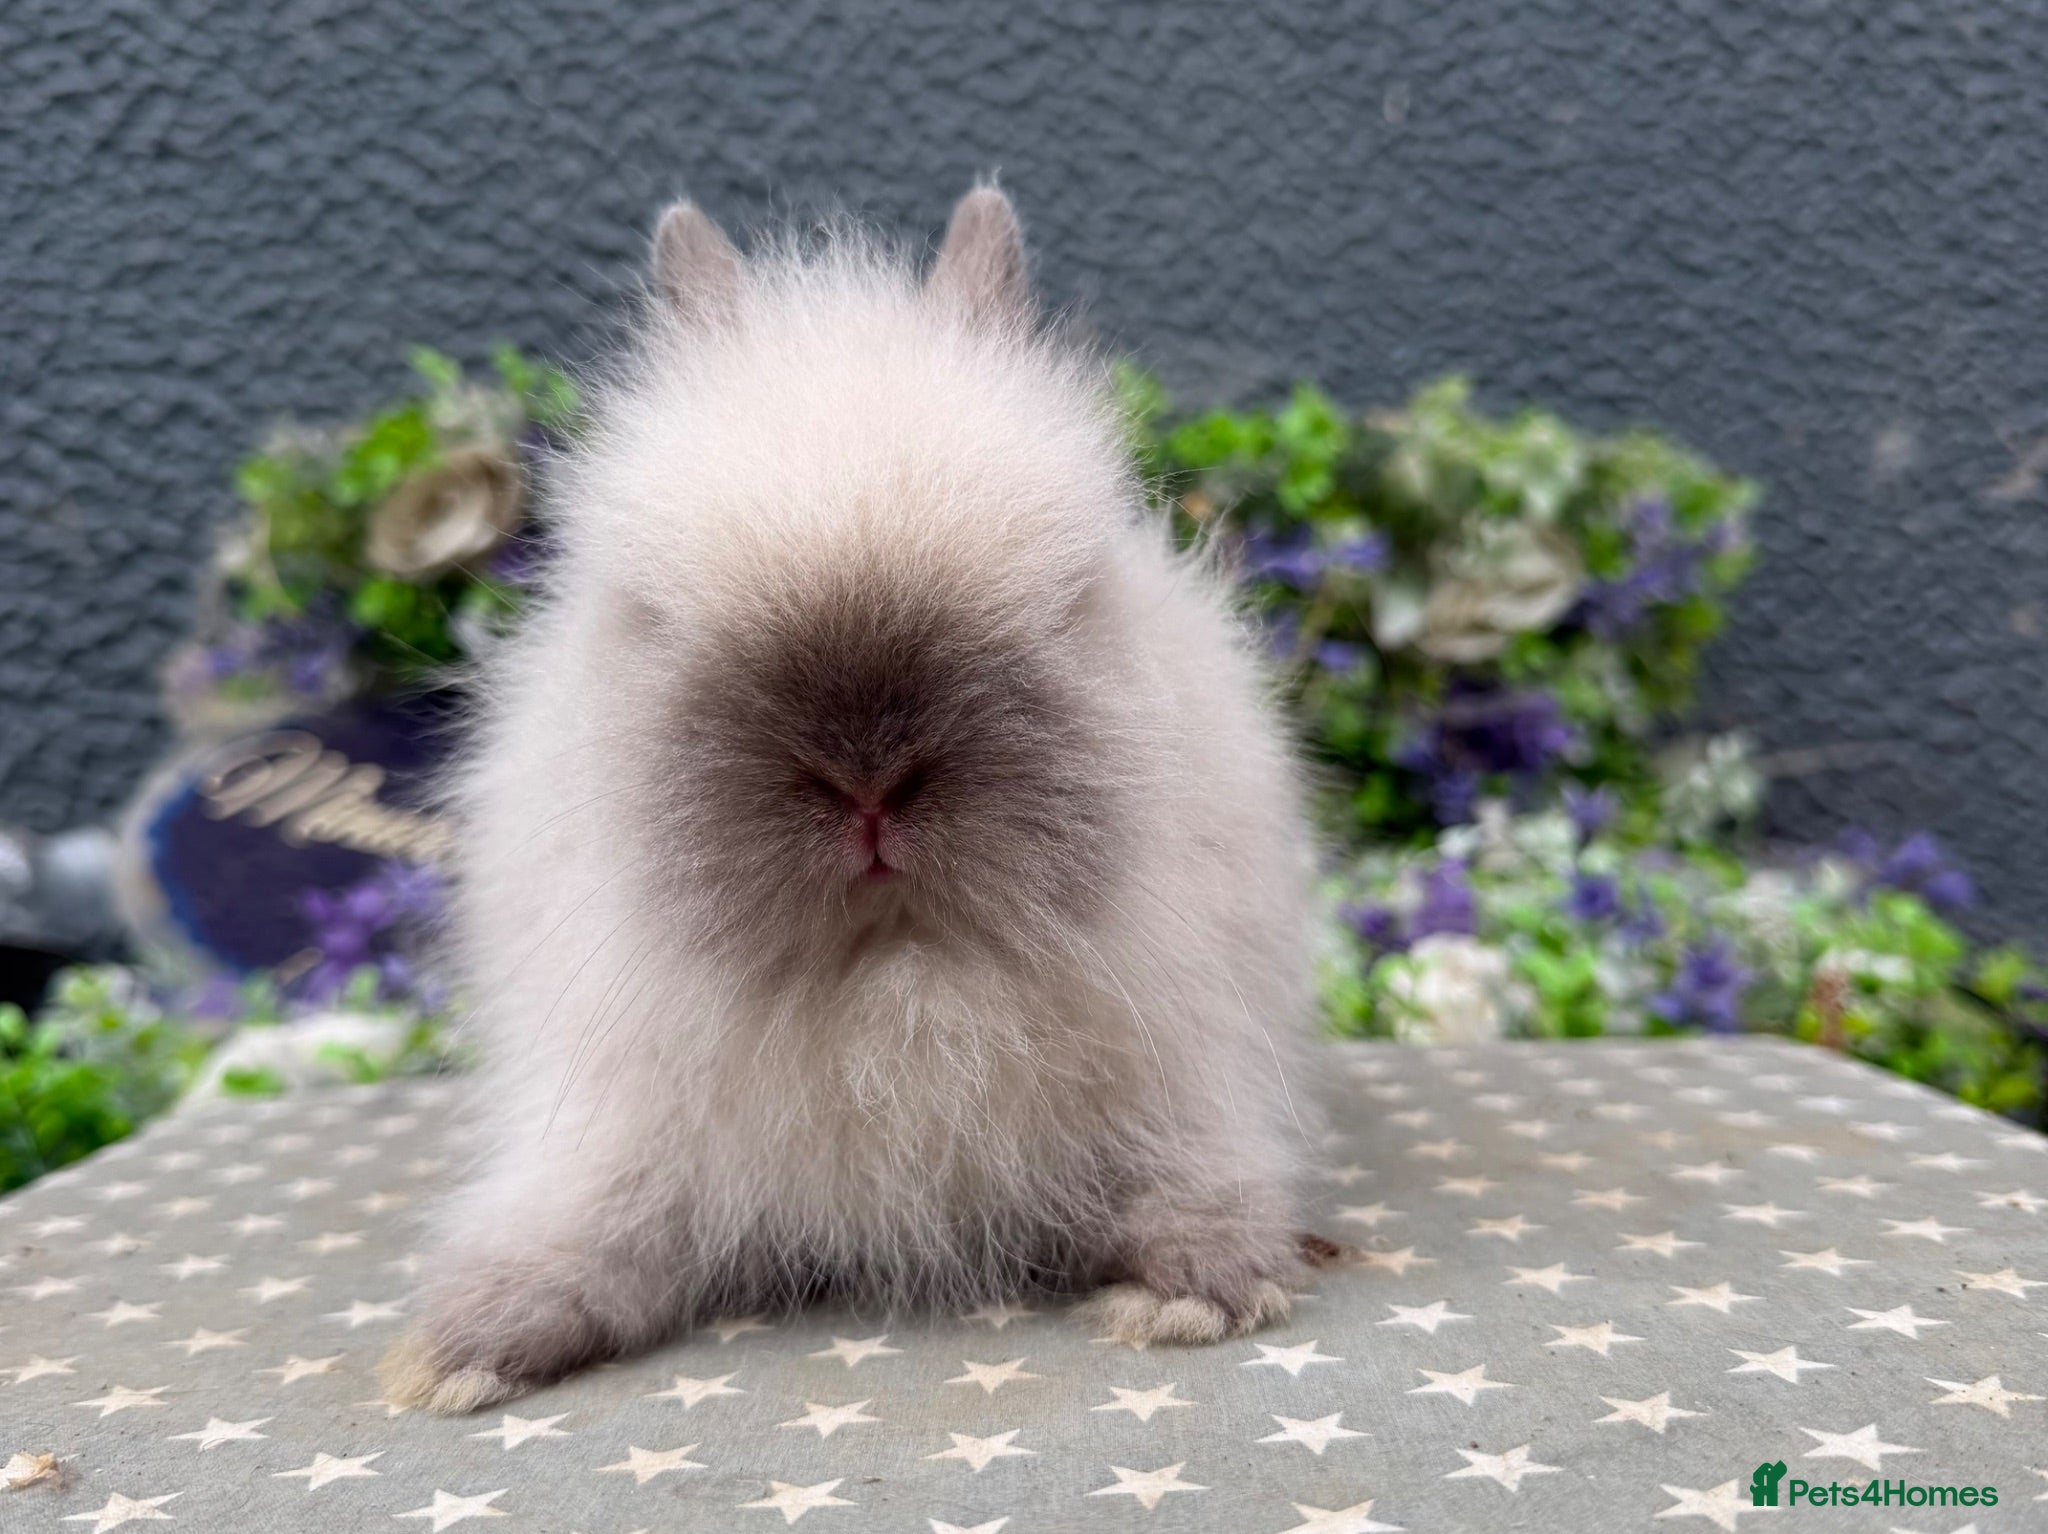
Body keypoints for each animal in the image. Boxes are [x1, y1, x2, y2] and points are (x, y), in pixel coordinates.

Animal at [380, 186, 1324, 1414]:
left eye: (1071, 595)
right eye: (649, 614)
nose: (868, 783)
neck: (897, 992)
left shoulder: (1188, 1074)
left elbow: (1190, 1180)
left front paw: (1198, 1289)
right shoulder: (617, 1127)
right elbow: (593, 1230)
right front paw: (465, 1348)